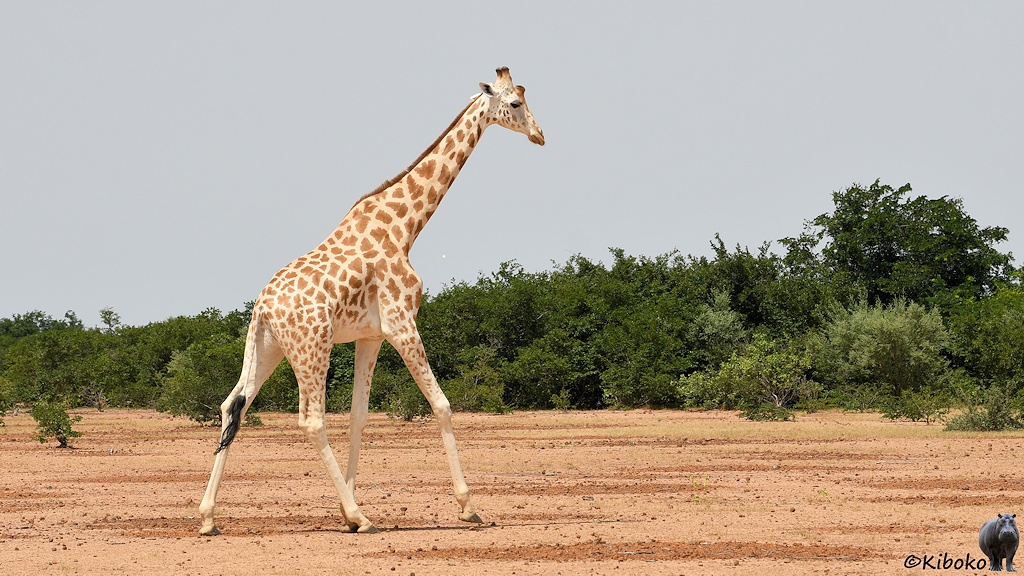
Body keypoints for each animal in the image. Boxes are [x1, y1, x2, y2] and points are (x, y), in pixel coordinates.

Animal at [198, 67, 544, 535]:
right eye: (515, 103)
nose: (540, 135)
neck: (404, 227)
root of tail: (262, 307)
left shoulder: (370, 335)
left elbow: (359, 415)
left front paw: (347, 507)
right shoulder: (402, 322)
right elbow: (441, 404)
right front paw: (468, 506)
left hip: (268, 348)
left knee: (233, 405)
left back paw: (208, 517)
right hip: (312, 347)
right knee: (311, 420)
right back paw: (361, 518)